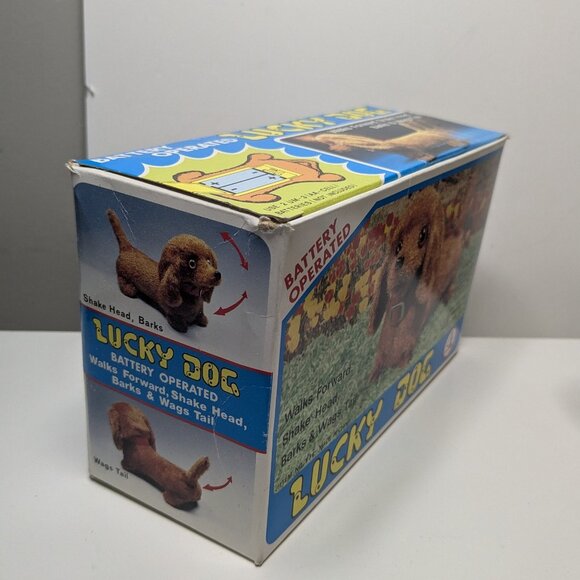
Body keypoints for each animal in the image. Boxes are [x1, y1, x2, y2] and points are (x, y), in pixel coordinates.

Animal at [368, 187, 464, 378]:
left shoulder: (406, 351)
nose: (398, 262)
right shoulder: (380, 357)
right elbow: (374, 371)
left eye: (423, 235)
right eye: (398, 245)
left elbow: (403, 362)